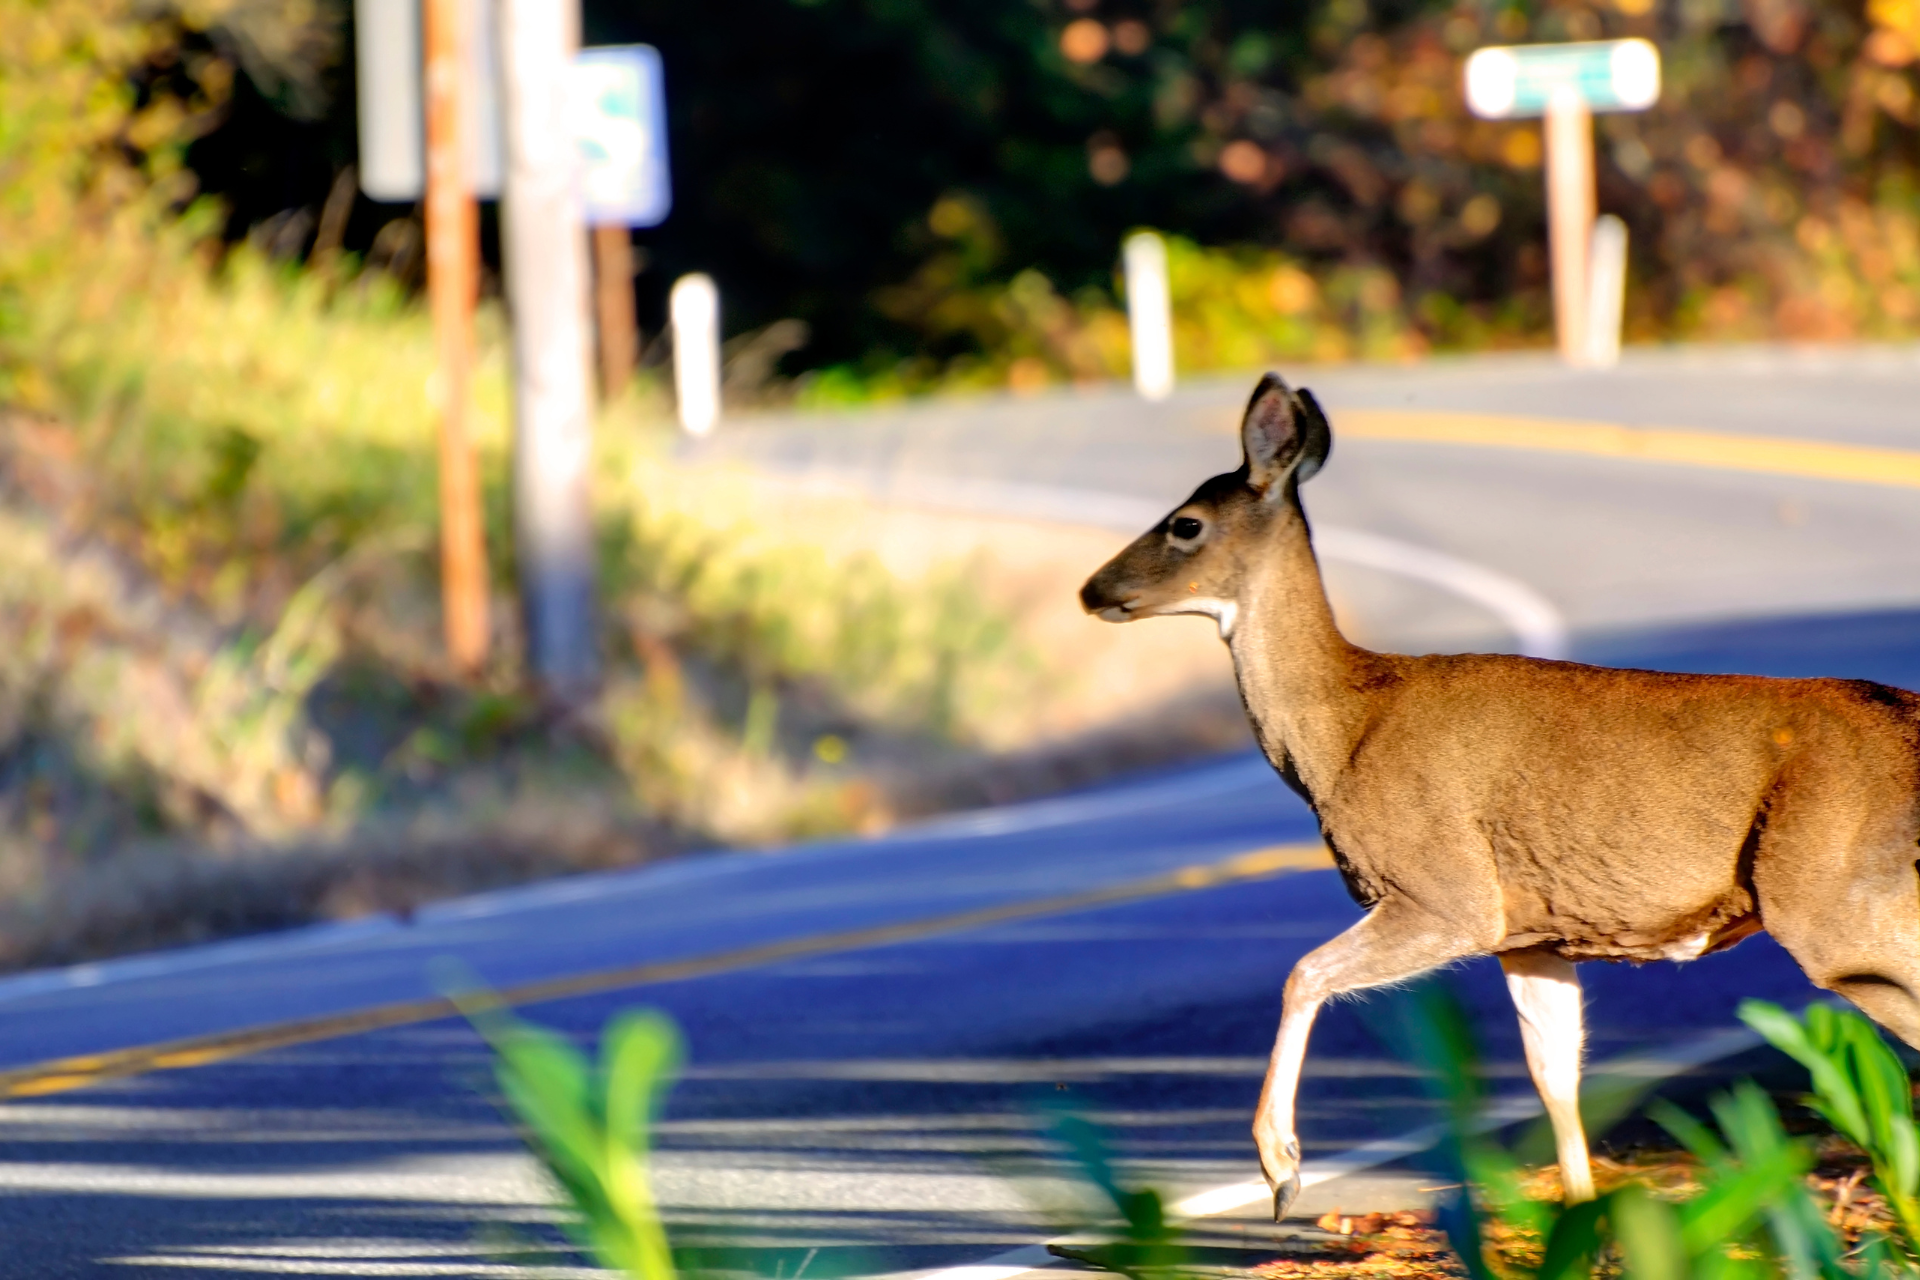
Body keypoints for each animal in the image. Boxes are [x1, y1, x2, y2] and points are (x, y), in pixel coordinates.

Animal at [1081, 371, 1920, 1220]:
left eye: (1185, 524)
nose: (1092, 589)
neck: (1343, 729)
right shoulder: (1534, 932)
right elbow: (1554, 1073)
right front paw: (1580, 1215)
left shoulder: (1446, 891)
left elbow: (1304, 973)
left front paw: (1281, 1169)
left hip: (1834, 903)